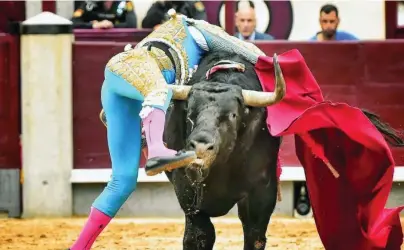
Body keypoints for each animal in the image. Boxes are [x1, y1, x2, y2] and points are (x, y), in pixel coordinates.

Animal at [162, 49, 404, 249]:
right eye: (190, 113)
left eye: (232, 115)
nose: (201, 146)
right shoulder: (187, 193)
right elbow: (200, 236)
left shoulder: (261, 194)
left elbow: (254, 236)